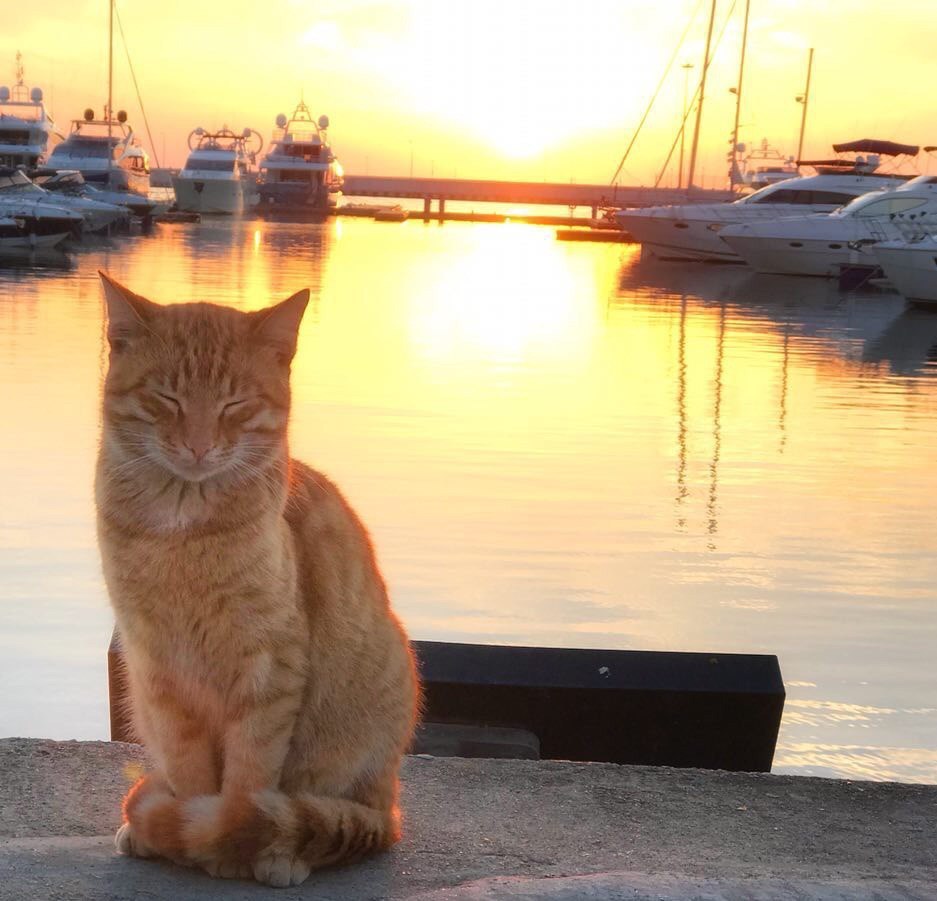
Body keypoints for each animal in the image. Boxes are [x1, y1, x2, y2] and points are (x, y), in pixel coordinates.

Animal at [94, 272, 416, 884]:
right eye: (166, 398)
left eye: (235, 403)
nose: (197, 445)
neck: (181, 534)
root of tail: (389, 802)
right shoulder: (161, 672)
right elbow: (192, 775)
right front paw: (191, 833)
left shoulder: (268, 669)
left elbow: (248, 781)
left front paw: (228, 843)